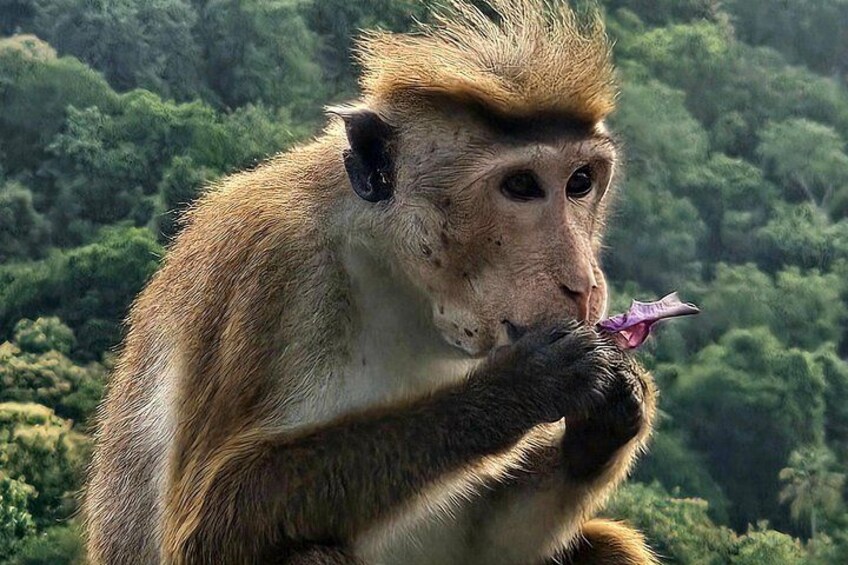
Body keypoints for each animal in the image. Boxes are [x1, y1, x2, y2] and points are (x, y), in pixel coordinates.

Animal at [83, 1, 658, 564]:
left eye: (580, 182)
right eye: (521, 186)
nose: (582, 285)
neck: (394, 276)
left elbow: (487, 542)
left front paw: (614, 415)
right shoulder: (272, 271)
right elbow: (205, 527)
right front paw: (519, 388)